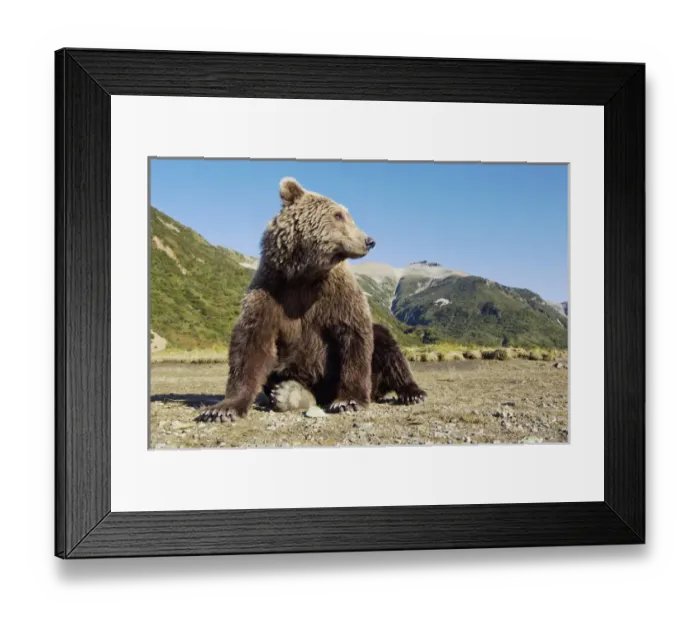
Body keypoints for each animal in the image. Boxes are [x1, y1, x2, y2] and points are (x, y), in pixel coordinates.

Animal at [196, 178, 426, 422]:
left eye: (348, 215)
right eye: (338, 215)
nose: (369, 240)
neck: (304, 274)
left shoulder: (336, 295)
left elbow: (354, 336)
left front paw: (348, 401)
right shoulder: (272, 291)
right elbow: (252, 343)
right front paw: (222, 409)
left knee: (386, 343)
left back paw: (412, 392)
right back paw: (289, 393)